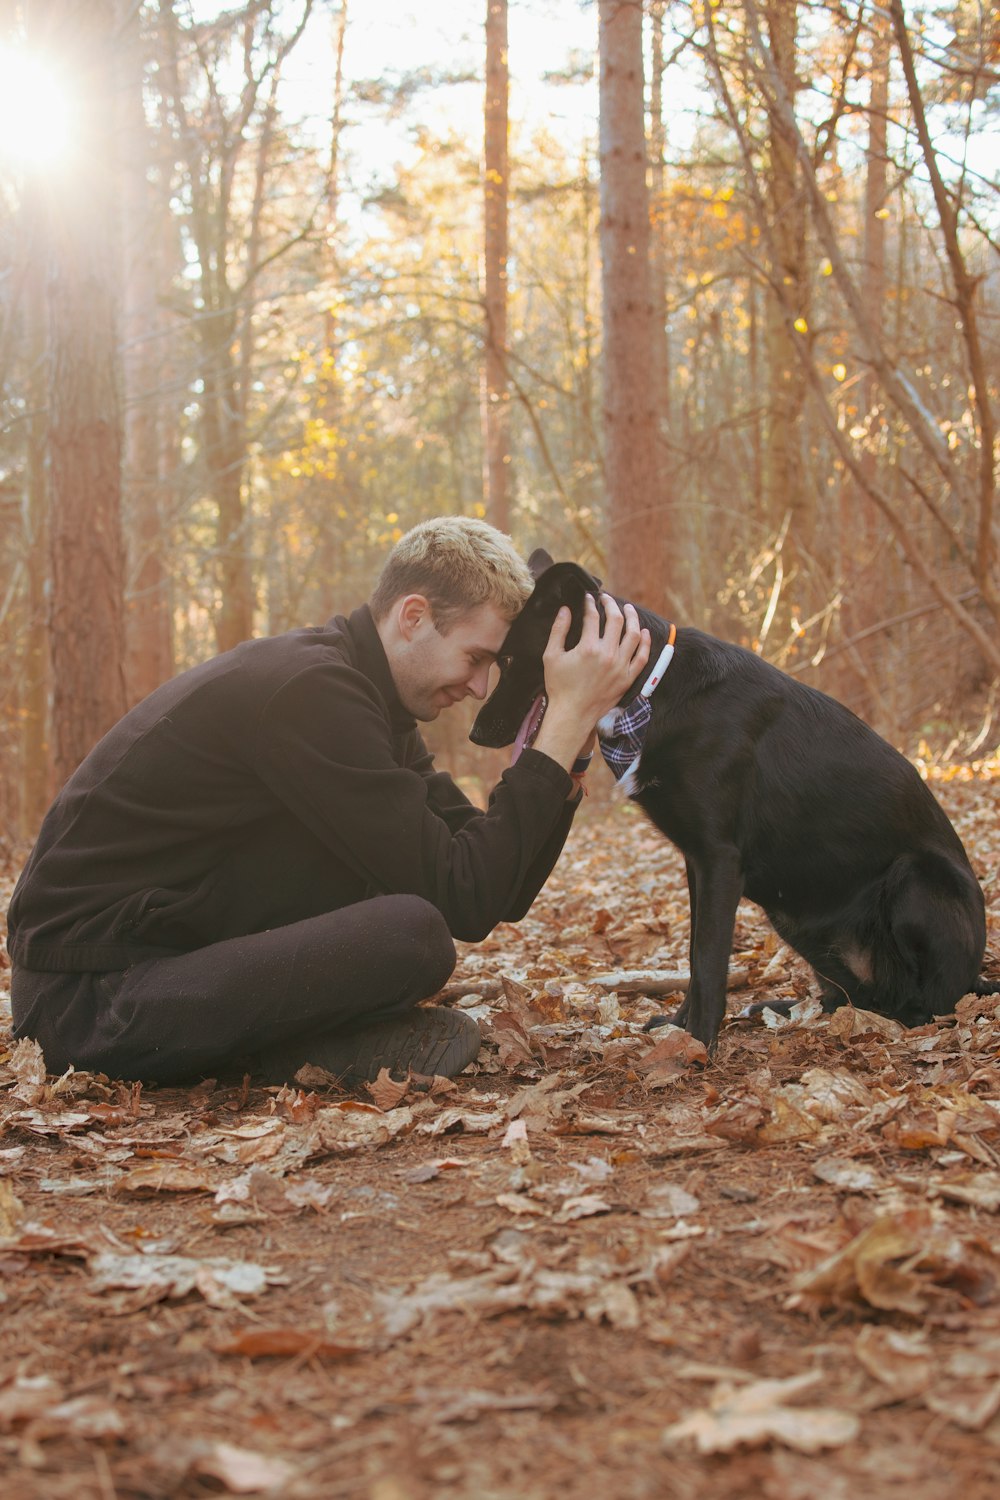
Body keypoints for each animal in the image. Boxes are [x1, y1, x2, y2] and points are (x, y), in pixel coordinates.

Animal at [470, 555, 995, 1056]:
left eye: (509, 657)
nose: (476, 733)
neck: (651, 686)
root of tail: (976, 978)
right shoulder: (696, 862)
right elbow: (695, 953)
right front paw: (680, 1026)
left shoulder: (719, 859)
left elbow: (708, 960)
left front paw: (700, 1041)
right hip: (793, 917)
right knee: (850, 997)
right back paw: (787, 1008)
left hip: (916, 880)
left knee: (932, 1002)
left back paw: (903, 1016)